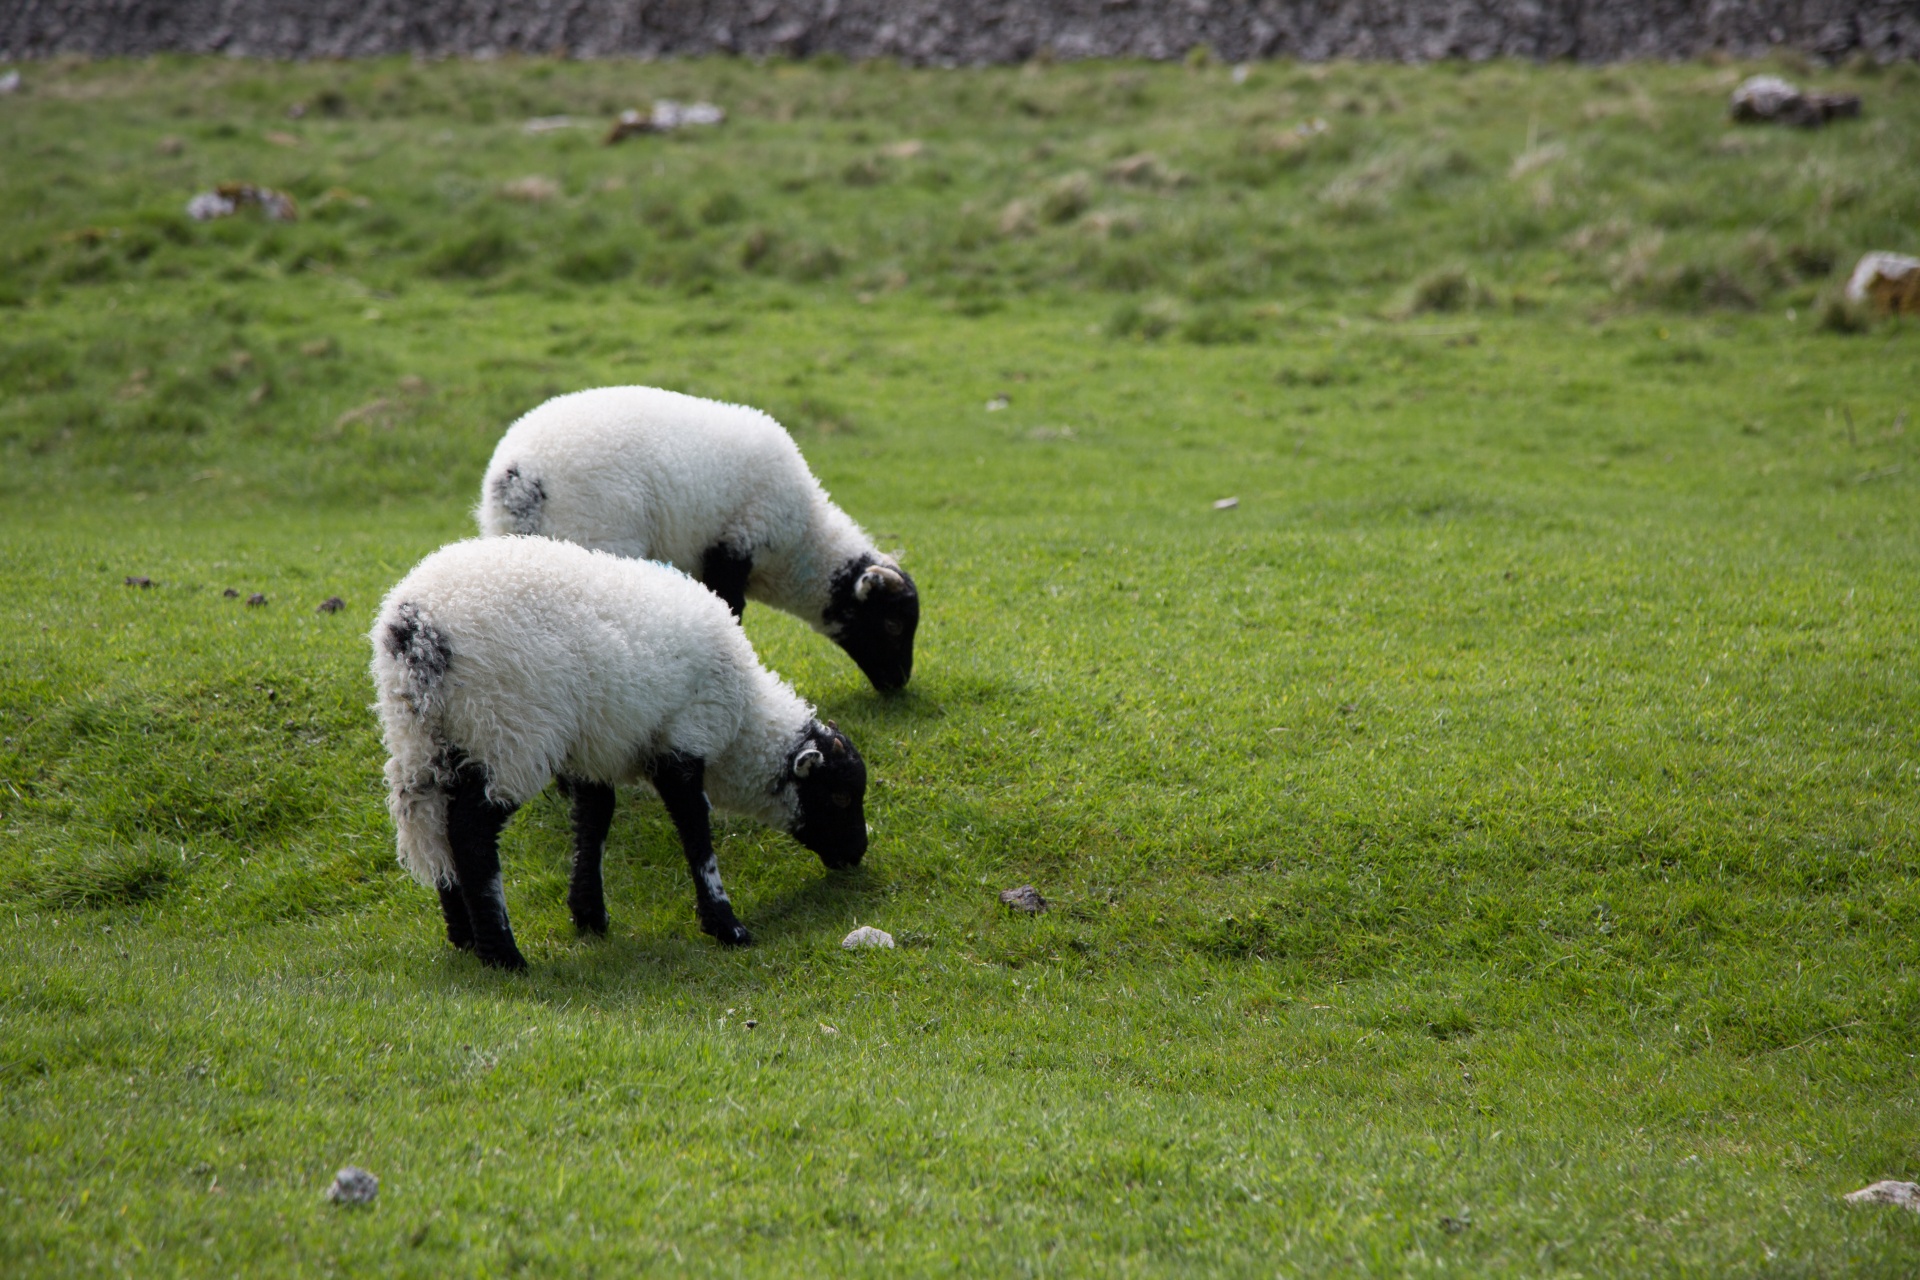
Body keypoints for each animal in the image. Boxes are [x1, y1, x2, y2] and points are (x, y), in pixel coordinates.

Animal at [364, 533, 871, 971]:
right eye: (841, 796)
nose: (857, 854)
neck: (743, 724)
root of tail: (418, 629)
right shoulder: (685, 736)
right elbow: (695, 832)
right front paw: (726, 925)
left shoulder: (595, 748)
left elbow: (595, 817)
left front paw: (589, 913)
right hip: (508, 730)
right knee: (471, 832)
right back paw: (503, 954)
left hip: (423, 737)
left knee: (433, 828)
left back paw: (463, 935)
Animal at [483, 385, 925, 694]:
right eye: (891, 624)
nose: (898, 684)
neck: (799, 545)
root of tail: (521, 476)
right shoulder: (735, 546)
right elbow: (731, 612)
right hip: (594, 535)